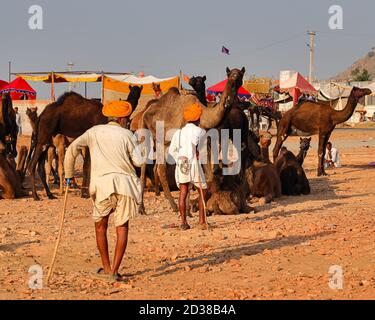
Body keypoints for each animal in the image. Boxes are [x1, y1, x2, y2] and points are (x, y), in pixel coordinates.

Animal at [140, 67, 248, 212]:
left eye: (240, 74)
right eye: (229, 74)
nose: (235, 78)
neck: (203, 116)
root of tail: (146, 110)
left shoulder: (203, 142)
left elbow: (205, 172)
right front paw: (188, 209)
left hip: (163, 142)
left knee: (159, 168)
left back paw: (171, 205)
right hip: (147, 133)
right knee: (147, 165)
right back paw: (145, 207)